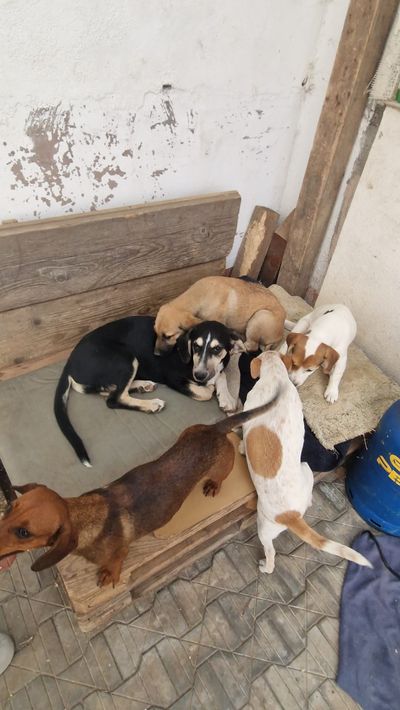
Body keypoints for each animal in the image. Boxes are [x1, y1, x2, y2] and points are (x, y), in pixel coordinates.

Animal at [0, 397, 278, 587]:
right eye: (10, 508)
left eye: (24, 533)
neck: (89, 515)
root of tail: (215, 429)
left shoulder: (120, 551)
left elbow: (114, 562)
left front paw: (109, 574)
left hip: (222, 468)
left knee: (220, 477)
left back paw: (214, 484)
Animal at [54, 316, 245, 466]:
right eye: (196, 347)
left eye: (217, 349)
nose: (199, 375)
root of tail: (69, 363)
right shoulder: (173, 377)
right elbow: (205, 392)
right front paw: (212, 388)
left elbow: (221, 375)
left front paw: (226, 398)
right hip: (125, 358)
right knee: (113, 399)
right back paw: (151, 404)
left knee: (108, 391)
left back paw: (142, 385)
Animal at [154, 275, 286, 354]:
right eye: (156, 333)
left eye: (168, 336)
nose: (155, 354)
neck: (200, 296)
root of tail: (280, 336)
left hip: (260, 316)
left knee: (251, 346)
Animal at [240, 350, 371, 571]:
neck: (276, 377)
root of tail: (292, 515)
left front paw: (241, 447)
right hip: (306, 467)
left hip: (264, 528)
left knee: (271, 553)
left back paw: (265, 567)